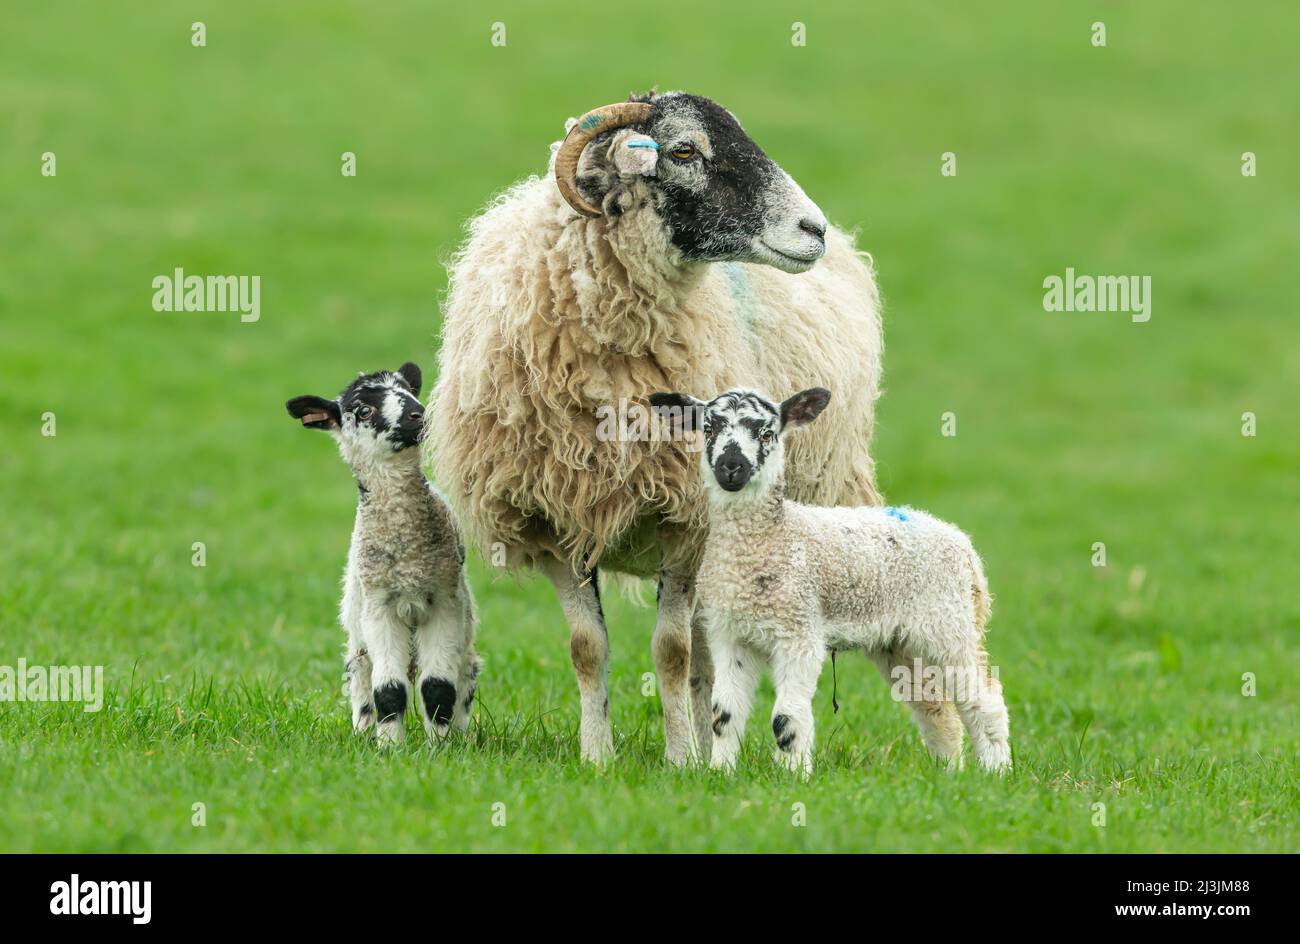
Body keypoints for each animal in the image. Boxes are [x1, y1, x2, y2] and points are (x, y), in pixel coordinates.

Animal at [428, 88, 883, 769]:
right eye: (685, 150)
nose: (814, 230)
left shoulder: (685, 521)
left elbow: (672, 654)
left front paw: (682, 758)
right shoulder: (556, 521)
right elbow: (587, 650)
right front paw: (597, 755)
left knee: (702, 651)